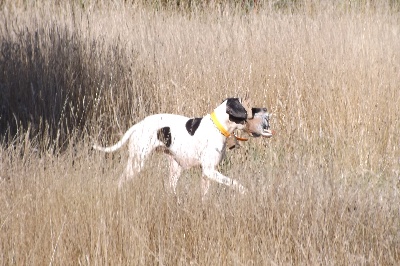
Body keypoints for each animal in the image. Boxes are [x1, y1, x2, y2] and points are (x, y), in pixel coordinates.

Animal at [94, 97, 272, 197]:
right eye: (249, 108)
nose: (264, 109)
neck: (218, 126)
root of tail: (138, 125)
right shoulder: (210, 171)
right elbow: (234, 182)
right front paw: (244, 191)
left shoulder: (206, 174)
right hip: (137, 163)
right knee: (121, 181)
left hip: (175, 168)